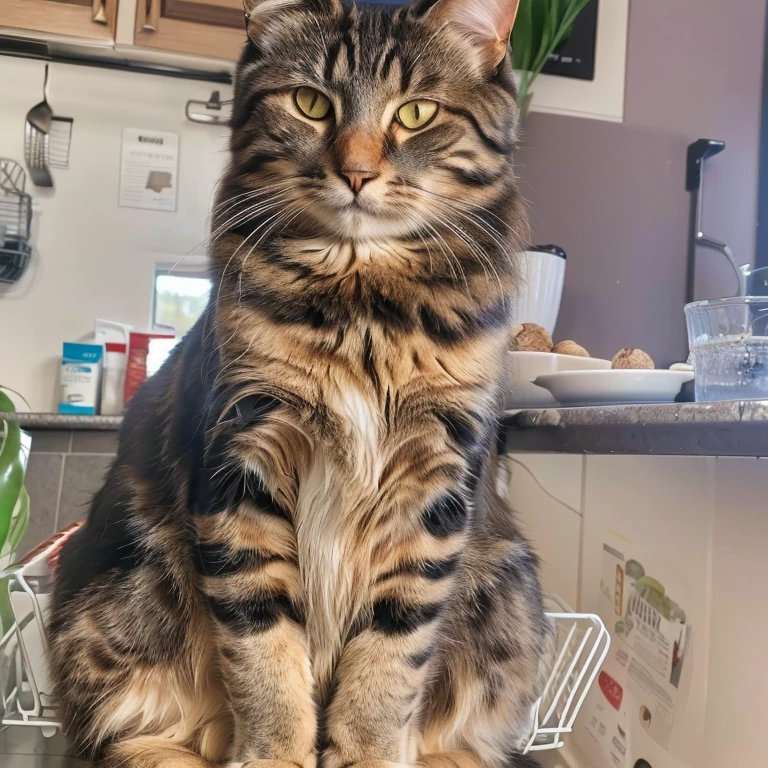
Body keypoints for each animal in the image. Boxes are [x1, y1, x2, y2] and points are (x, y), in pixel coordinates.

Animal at [48, 1, 552, 768]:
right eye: (312, 104)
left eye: (416, 113)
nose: (357, 173)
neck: (365, 306)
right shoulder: (242, 466)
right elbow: (262, 649)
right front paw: (277, 751)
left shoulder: (433, 490)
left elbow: (391, 654)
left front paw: (366, 749)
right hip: (114, 588)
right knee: (132, 734)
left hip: (510, 590)